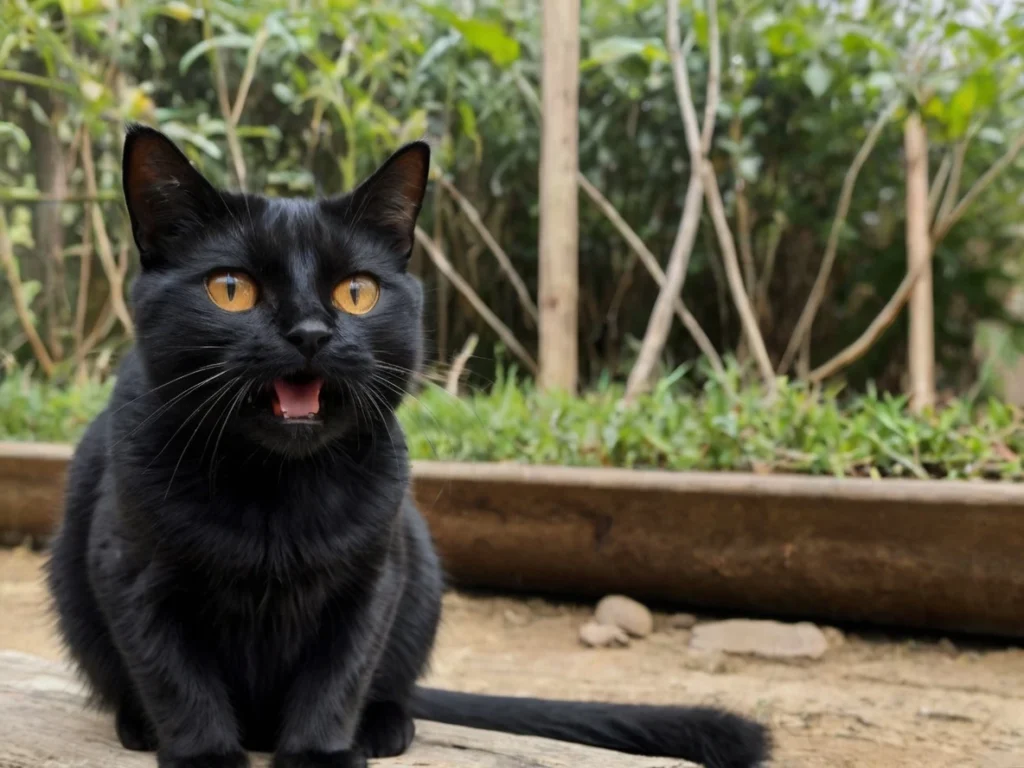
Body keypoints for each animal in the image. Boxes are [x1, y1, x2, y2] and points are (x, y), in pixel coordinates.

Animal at [46, 126, 770, 768]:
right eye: (231, 289)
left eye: (356, 291)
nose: (310, 331)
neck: (277, 494)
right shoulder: (131, 572)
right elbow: (177, 680)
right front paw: (204, 757)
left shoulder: (372, 580)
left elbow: (337, 678)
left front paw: (320, 754)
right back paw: (138, 726)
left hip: (418, 561)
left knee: (391, 685)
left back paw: (386, 727)